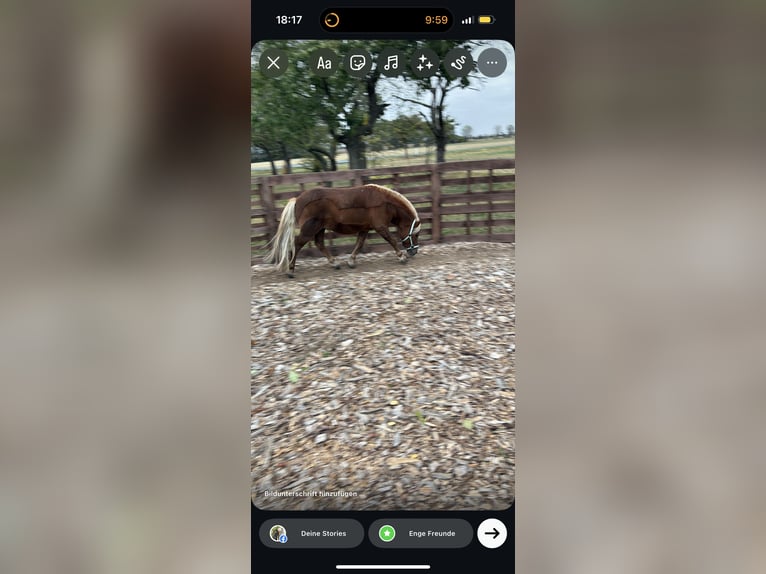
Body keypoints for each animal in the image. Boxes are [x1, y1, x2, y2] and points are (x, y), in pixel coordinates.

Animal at [264, 184, 421, 277]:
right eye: (415, 234)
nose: (414, 252)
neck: (385, 203)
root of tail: (297, 199)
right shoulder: (380, 227)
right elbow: (392, 240)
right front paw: (401, 257)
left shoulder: (364, 228)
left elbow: (359, 244)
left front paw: (351, 262)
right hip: (310, 228)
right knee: (297, 244)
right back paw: (290, 269)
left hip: (320, 228)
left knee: (319, 244)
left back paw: (335, 263)